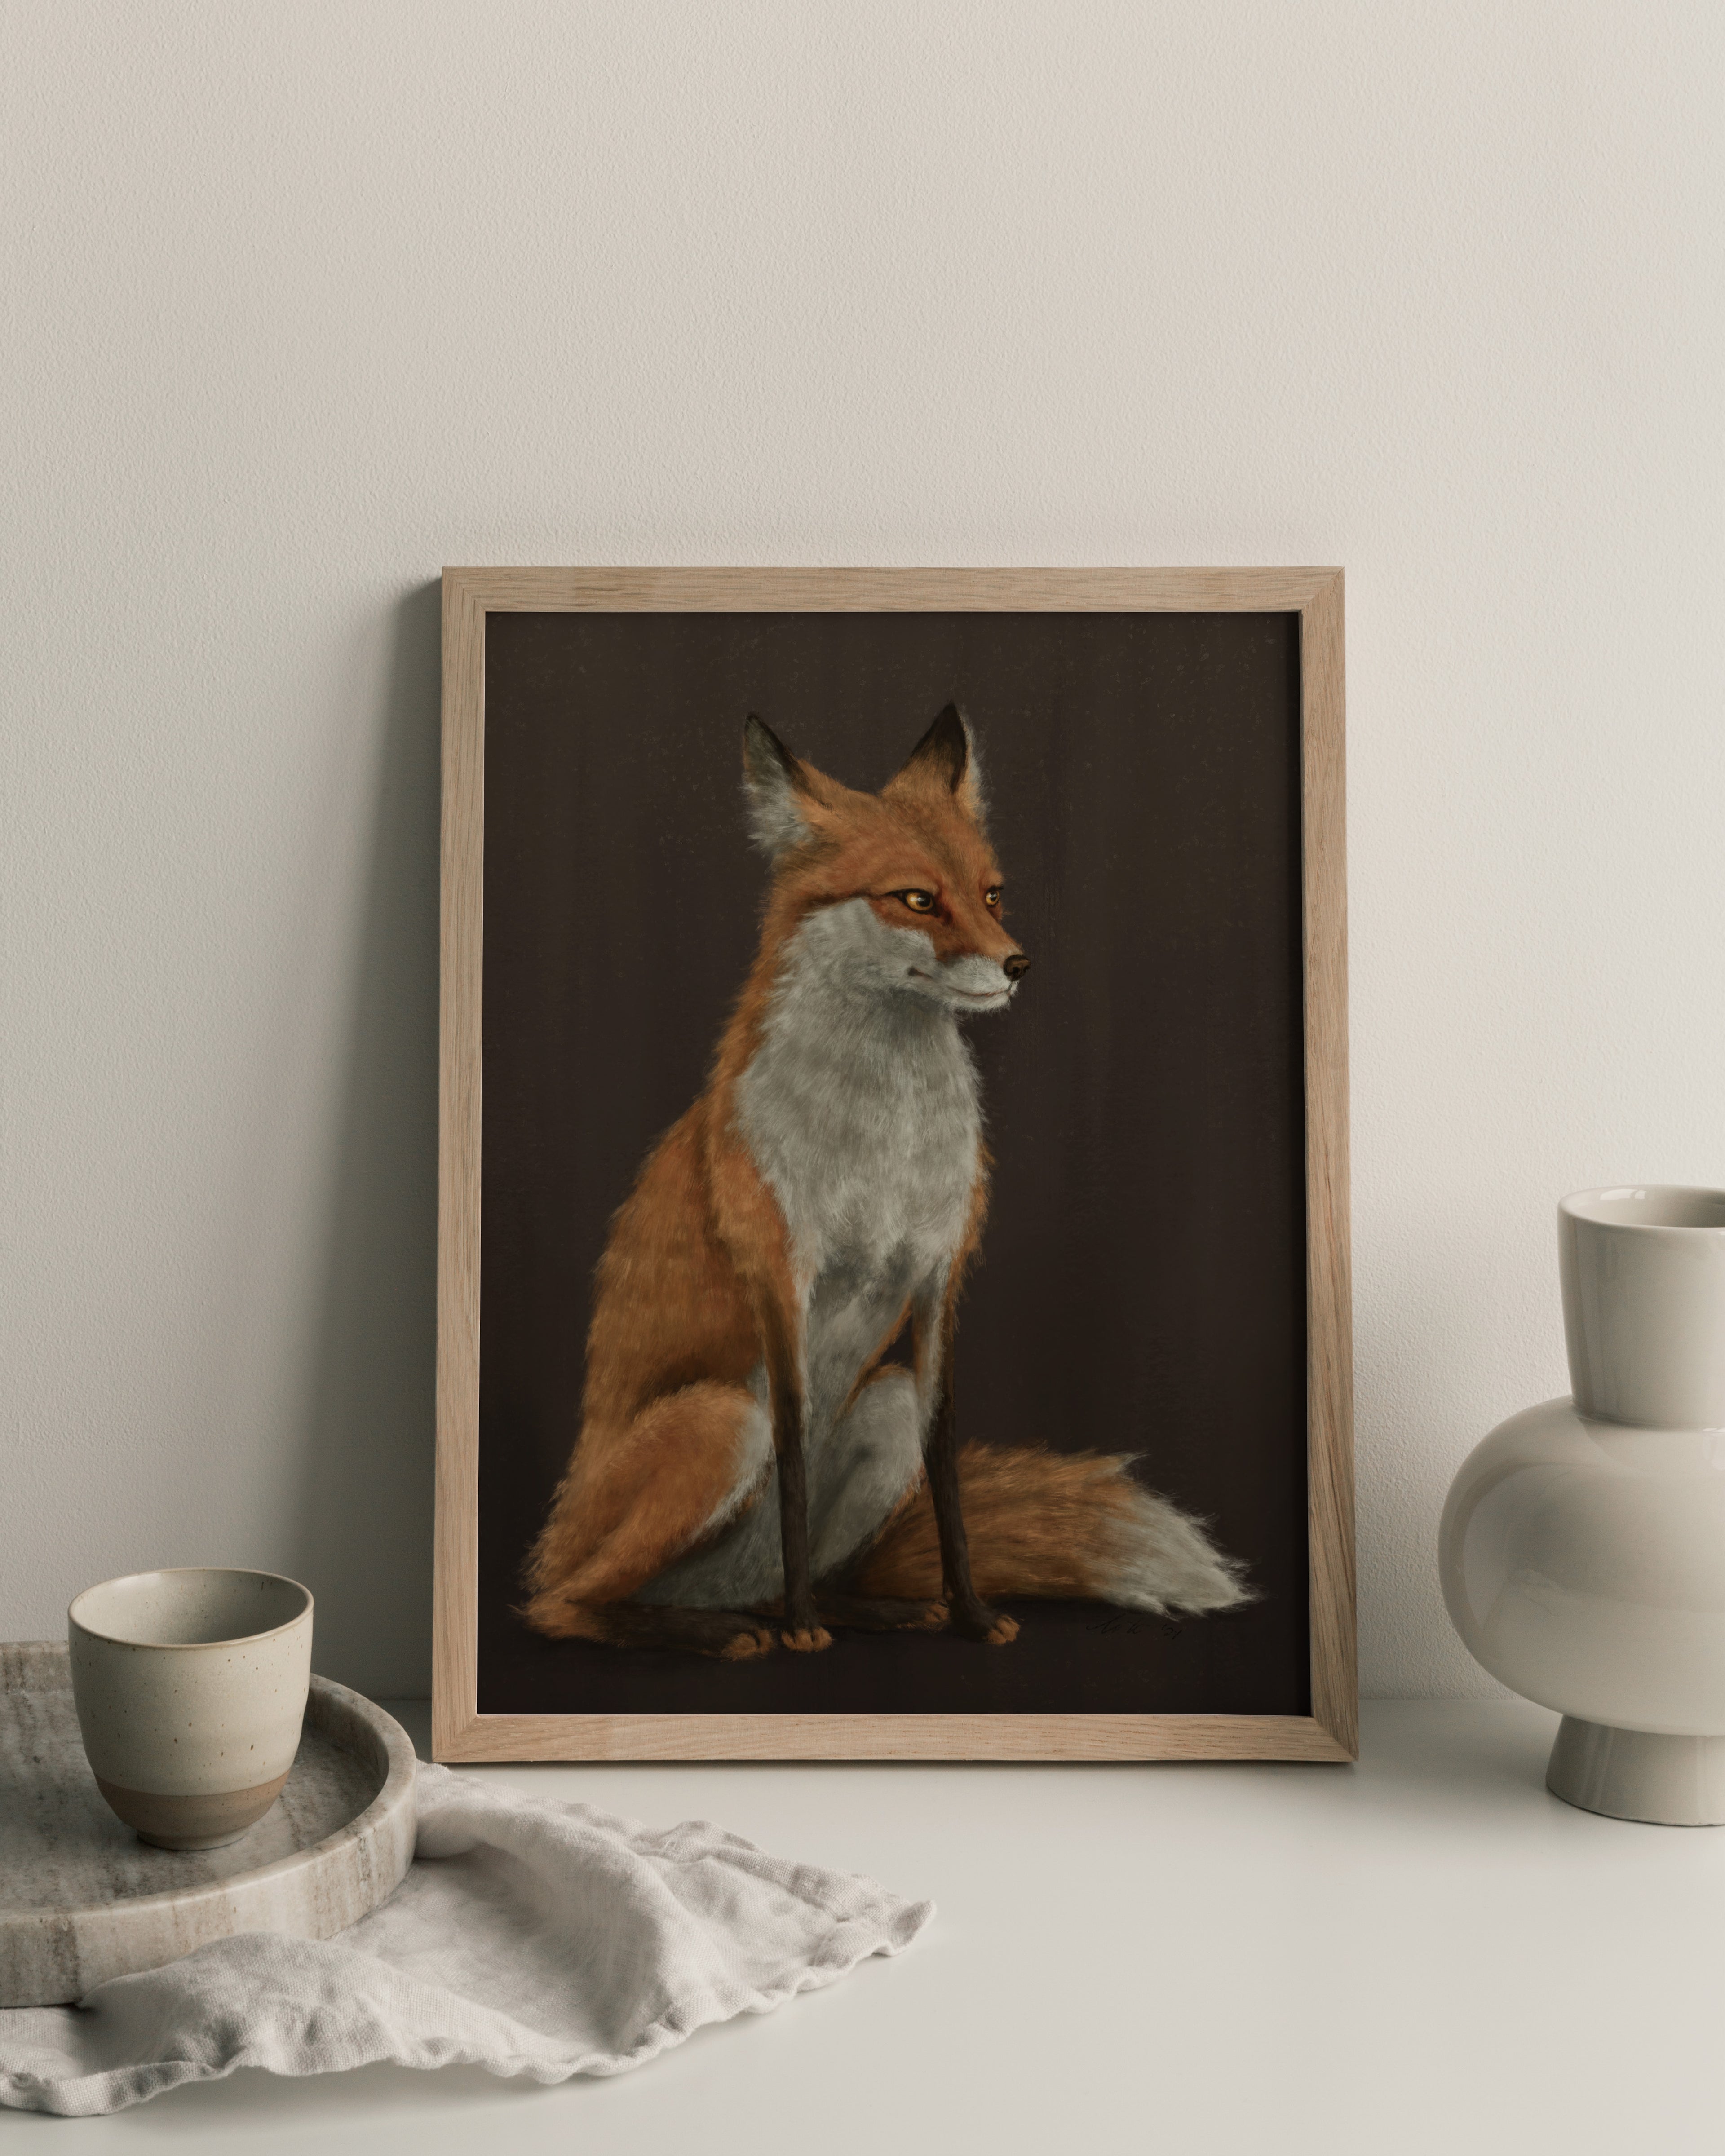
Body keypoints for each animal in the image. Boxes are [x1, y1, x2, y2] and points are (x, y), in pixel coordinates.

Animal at [521, 703, 1249, 1658]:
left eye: (992, 894)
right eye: (916, 899)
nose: (1018, 965)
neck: (884, 1143)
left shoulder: (940, 1278)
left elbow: (946, 1474)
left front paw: (970, 1614)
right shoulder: (782, 1278)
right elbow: (794, 1462)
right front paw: (805, 1634)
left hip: (883, 1405)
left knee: (780, 1574)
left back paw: (860, 1609)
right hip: (720, 1421)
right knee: (563, 1605)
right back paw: (725, 1629)